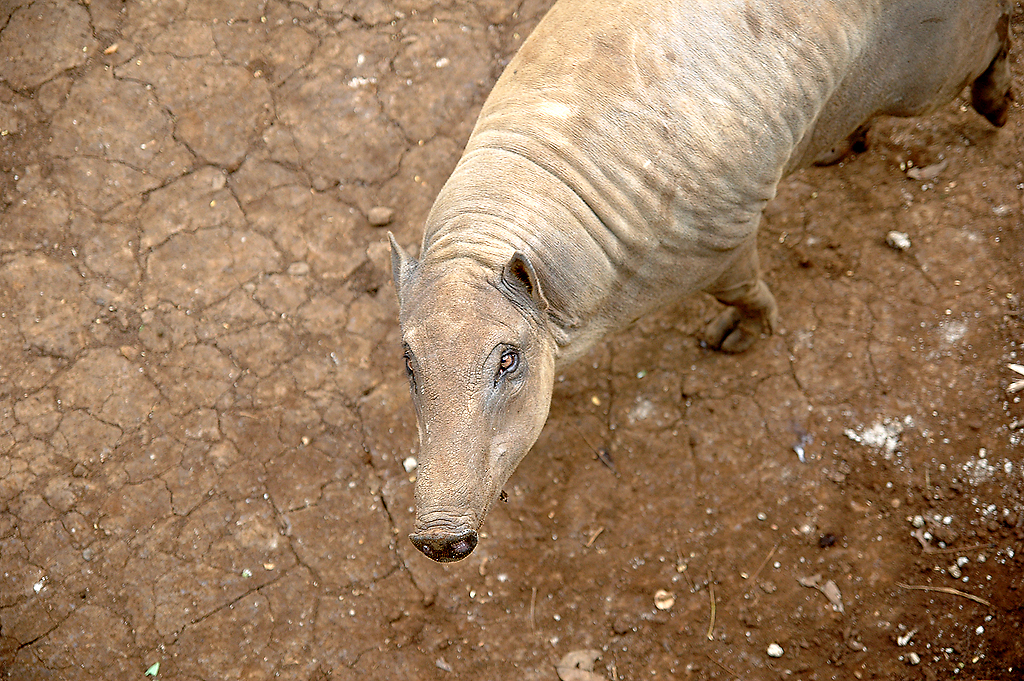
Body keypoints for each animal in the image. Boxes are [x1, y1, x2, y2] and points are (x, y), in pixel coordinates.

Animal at [387, 0, 1011, 561]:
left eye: (509, 358)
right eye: (408, 363)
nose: (437, 540)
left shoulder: (722, 244)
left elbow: (746, 292)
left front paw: (730, 341)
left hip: (934, 73)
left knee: (995, 41)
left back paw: (1000, 111)